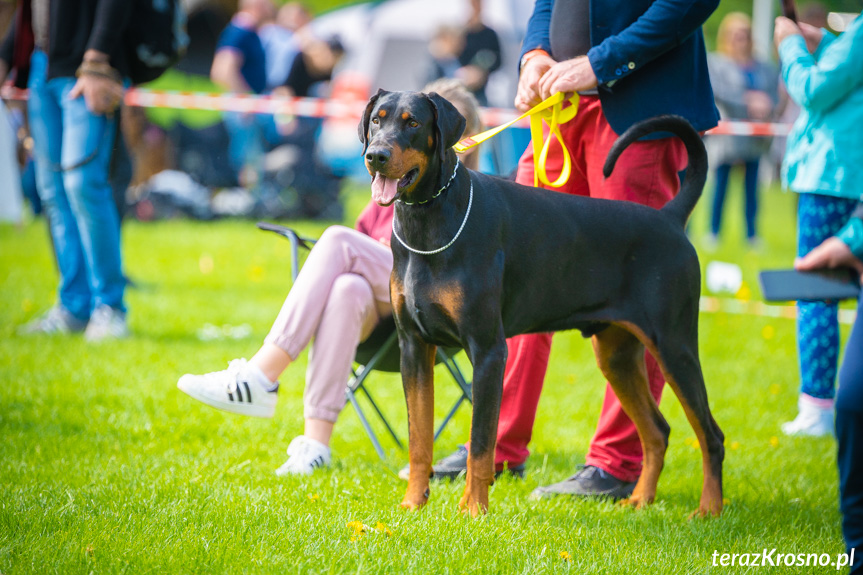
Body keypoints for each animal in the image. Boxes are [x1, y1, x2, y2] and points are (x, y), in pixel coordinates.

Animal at [358, 89, 724, 516]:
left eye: (412, 122)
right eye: (377, 120)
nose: (376, 155)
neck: (428, 220)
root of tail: (670, 218)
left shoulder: (488, 351)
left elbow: (481, 445)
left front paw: (473, 511)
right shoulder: (414, 348)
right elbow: (419, 440)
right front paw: (413, 504)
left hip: (673, 345)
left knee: (711, 435)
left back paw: (709, 510)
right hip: (616, 354)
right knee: (658, 431)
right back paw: (639, 500)